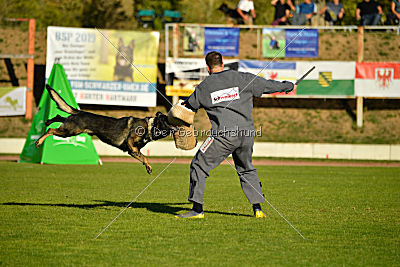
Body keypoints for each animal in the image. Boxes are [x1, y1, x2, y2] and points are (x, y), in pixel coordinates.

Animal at [34, 85, 177, 175]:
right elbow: (145, 157)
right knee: (51, 130)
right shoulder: (131, 146)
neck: (150, 127)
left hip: (69, 128)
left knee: (59, 117)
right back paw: (39, 141)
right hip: (69, 131)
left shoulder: (132, 151)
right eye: (167, 118)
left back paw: (48, 121)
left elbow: (143, 157)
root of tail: (79, 112)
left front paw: (148, 167)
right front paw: (148, 166)